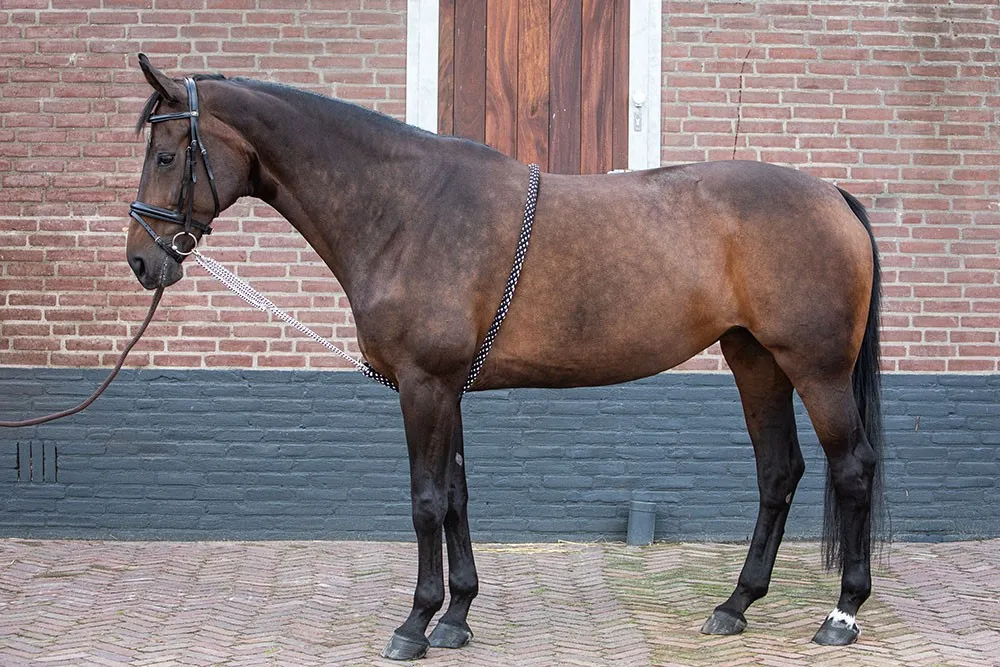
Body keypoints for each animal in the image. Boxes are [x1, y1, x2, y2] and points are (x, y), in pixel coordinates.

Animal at [125, 55, 885, 660]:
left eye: (165, 155)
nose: (141, 261)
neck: (406, 208)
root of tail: (832, 194)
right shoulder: (446, 387)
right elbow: (458, 496)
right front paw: (457, 616)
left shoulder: (424, 385)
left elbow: (426, 501)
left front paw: (414, 623)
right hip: (755, 360)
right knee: (778, 471)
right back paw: (735, 605)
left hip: (815, 369)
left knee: (852, 467)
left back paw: (842, 613)